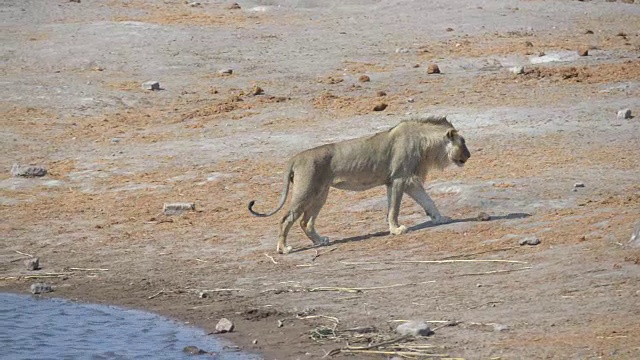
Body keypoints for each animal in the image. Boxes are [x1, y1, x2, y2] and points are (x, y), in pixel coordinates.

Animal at [249, 114, 470, 253]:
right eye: (464, 142)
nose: (469, 156)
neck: (426, 144)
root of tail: (295, 158)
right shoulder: (399, 179)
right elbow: (395, 209)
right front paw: (397, 229)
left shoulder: (405, 181)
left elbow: (427, 201)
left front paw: (440, 218)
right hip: (306, 191)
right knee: (287, 219)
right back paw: (284, 249)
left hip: (321, 193)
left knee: (305, 221)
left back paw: (320, 241)